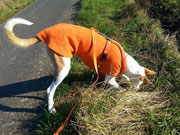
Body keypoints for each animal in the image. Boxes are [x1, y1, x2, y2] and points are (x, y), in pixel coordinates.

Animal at [4, 17, 156, 113]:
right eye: (140, 83)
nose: (136, 91)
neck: (125, 60)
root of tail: (44, 34)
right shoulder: (110, 78)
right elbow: (117, 85)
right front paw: (123, 91)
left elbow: (123, 76)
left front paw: (125, 79)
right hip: (64, 67)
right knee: (49, 89)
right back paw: (51, 108)